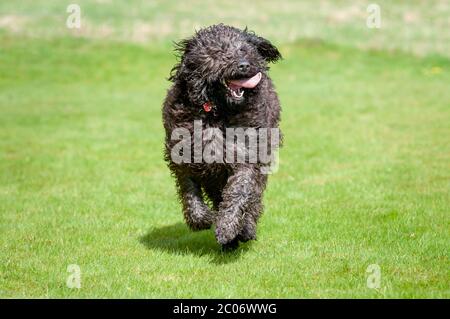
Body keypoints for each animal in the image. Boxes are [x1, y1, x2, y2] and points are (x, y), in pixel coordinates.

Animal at [162, 24, 282, 250]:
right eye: (219, 52)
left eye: (243, 49)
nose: (244, 65)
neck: (216, 110)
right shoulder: (183, 158)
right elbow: (189, 192)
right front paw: (201, 219)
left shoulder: (246, 156)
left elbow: (239, 191)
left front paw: (227, 228)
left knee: (253, 197)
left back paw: (246, 229)